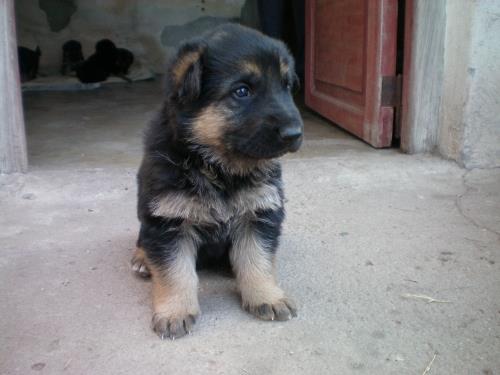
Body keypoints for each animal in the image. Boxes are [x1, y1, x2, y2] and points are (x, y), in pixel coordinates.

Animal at [133, 23, 302, 340]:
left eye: (286, 86)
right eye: (242, 91)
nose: (295, 134)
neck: (218, 166)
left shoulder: (259, 213)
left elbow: (257, 260)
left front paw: (267, 296)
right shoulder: (167, 222)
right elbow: (175, 273)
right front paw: (174, 312)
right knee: (141, 238)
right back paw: (141, 258)